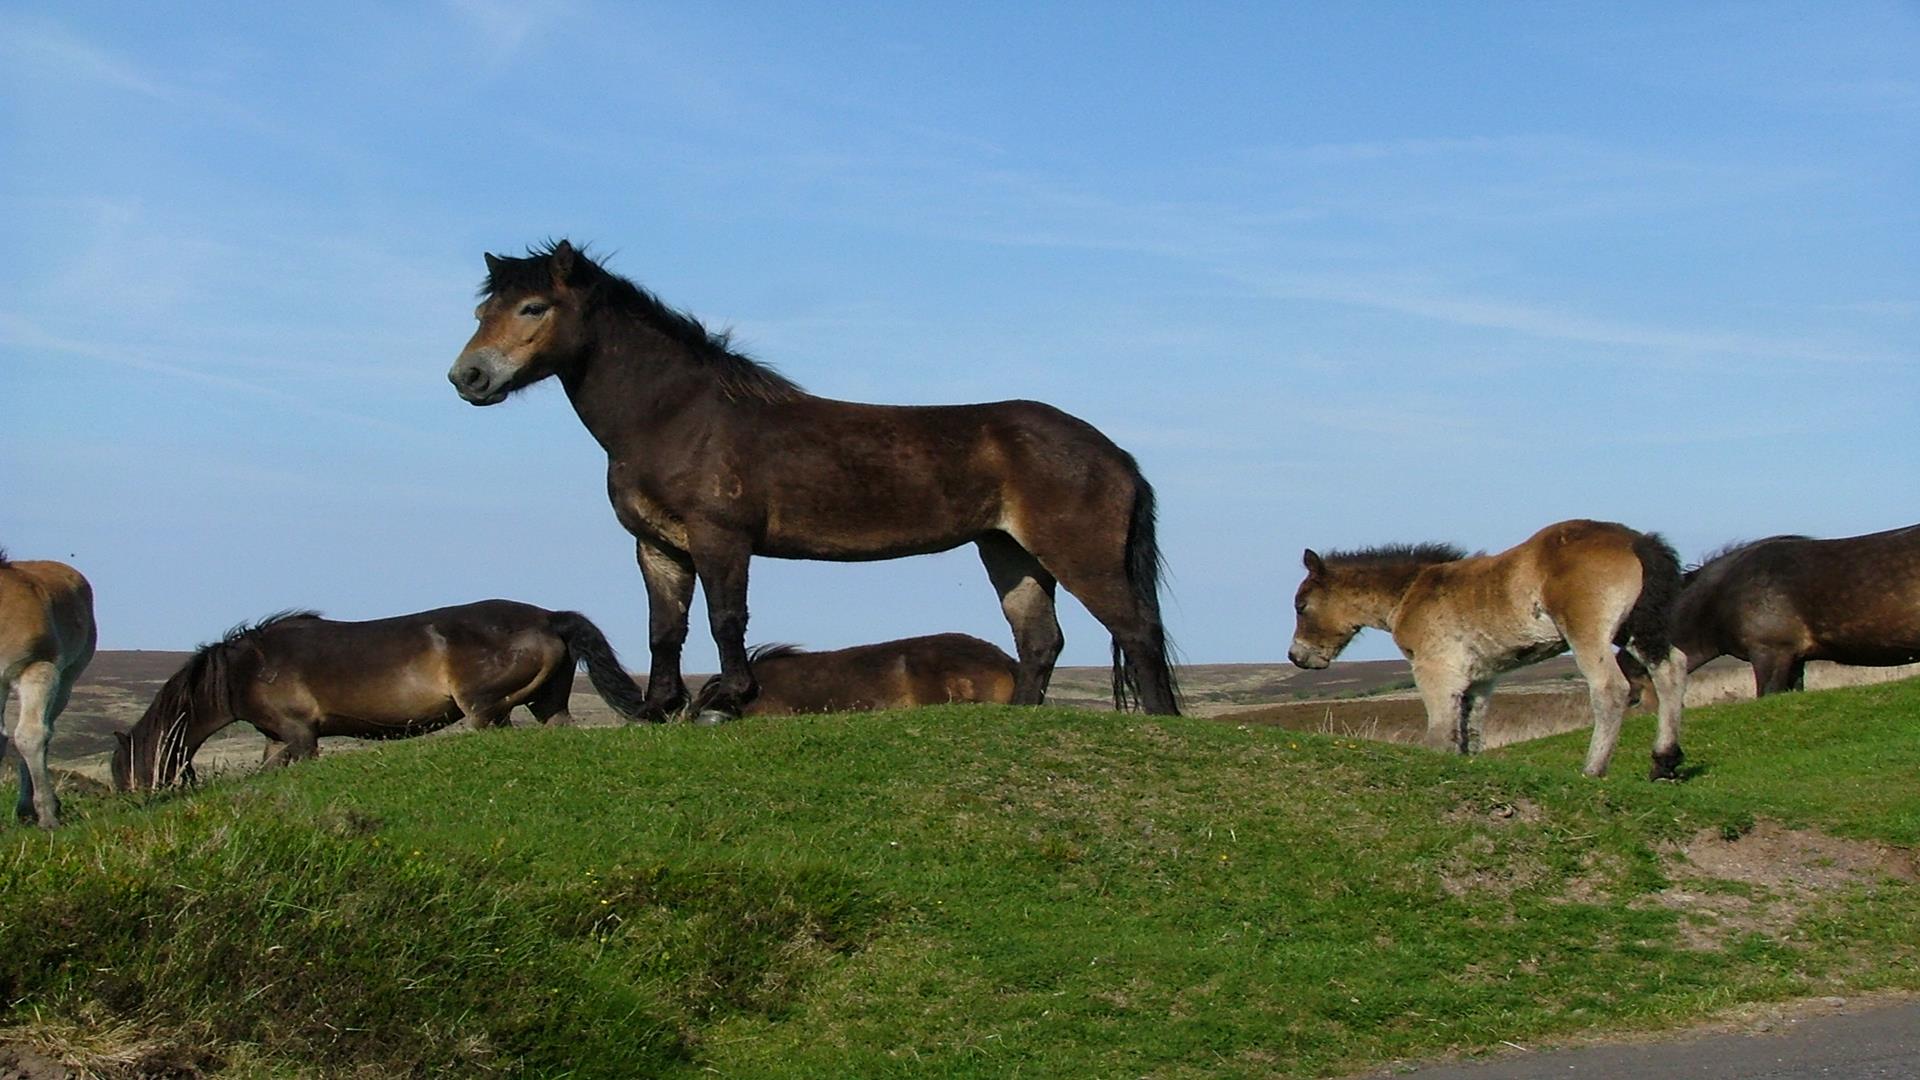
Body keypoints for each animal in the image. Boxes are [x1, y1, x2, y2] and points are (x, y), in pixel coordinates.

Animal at [0, 545, 96, 822]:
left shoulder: (38, 670)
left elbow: (30, 736)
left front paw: (48, 814)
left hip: (64, 683)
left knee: (43, 732)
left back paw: (30, 808)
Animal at [114, 595, 652, 791]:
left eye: (129, 768)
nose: (139, 800)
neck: (246, 669)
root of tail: (548, 617)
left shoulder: (301, 737)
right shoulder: (277, 739)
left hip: (485, 712)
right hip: (547, 705)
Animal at [1290, 518, 1681, 772]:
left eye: (1301, 605)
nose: (1296, 656)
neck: (1411, 592)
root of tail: (1636, 541)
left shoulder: (1434, 669)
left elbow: (1440, 732)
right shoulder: (1480, 678)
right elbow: (1470, 729)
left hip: (1588, 632)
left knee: (1611, 688)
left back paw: (1593, 770)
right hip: (1637, 631)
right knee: (1671, 671)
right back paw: (1666, 760)